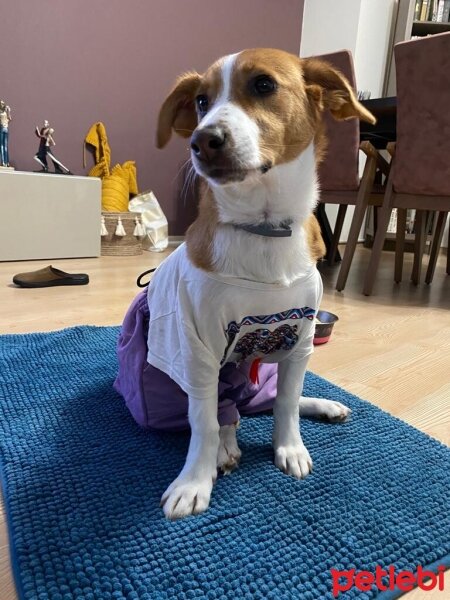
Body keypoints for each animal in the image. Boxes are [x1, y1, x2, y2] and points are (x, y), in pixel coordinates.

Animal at [156, 48, 374, 520]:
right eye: (201, 101)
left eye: (263, 85)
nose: (201, 140)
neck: (263, 226)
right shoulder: (198, 351)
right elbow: (203, 421)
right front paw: (194, 480)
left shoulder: (301, 342)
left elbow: (287, 403)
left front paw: (289, 447)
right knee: (228, 411)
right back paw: (225, 447)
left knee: (263, 401)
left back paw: (324, 406)